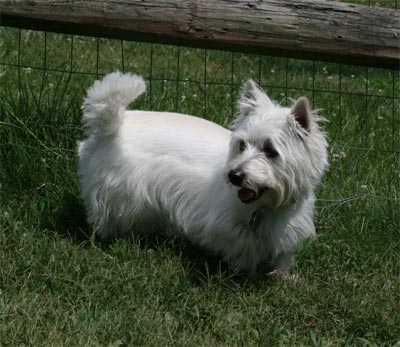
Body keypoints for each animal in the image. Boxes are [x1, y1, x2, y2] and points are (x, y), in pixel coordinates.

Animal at [78, 72, 328, 276]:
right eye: (241, 144)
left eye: (270, 151)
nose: (234, 176)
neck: (268, 206)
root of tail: (115, 125)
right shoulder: (226, 225)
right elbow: (243, 248)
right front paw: (244, 273)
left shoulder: (288, 229)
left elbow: (282, 256)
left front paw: (282, 278)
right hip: (118, 189)